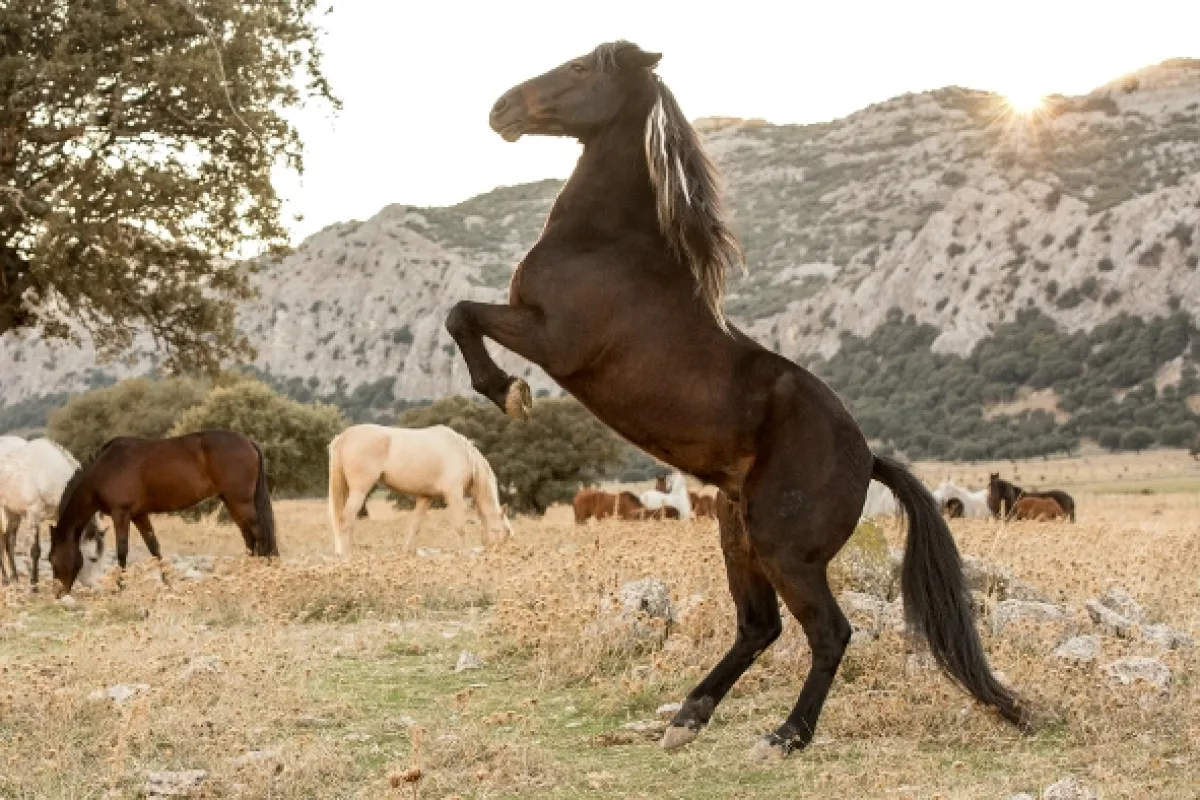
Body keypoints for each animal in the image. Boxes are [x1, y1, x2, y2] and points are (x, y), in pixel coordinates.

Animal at [0, 438, 104, 586]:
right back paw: (6, 579)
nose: (99, 584)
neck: (47, 475)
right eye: (93, 558)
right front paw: (34, 586)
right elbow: (35, 551)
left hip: (13, 513)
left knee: (9, 541)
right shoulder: (33, 515)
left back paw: (15, 578)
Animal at [48, 430, 276, 596]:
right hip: (231, 502)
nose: (59, 593)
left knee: (259, 535)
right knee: (249, 538)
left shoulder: (120, 513)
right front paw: (168, 584)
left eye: (52, 558)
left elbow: (122, 551)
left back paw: (262, 574)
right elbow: (154, 548)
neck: (102, 470)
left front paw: (121, 587)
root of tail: (248, 442)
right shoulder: (139, 515)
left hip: (241, 501)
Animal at [328, 424, 512, 555]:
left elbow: (415, 526)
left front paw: (406, 553)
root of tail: (344, 436)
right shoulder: (454, 494)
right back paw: (347, 556)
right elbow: (460, 526)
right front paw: (466, 554)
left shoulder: (425, 497)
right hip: (359, 490)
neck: (464, 455)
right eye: (503, 532)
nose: (493, 553)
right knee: (347, 519)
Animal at [445, 40, 1025, 756]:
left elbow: (462, 315)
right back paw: (686, 719)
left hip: (784, 548)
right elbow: (461, 315)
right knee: (759, 626)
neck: (606, 243)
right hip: (737, 533)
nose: (501, 108)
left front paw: (509, 394)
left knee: (828, 632)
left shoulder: (551, 338)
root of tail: (868, 459)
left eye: (582, 67)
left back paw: (785, 736)